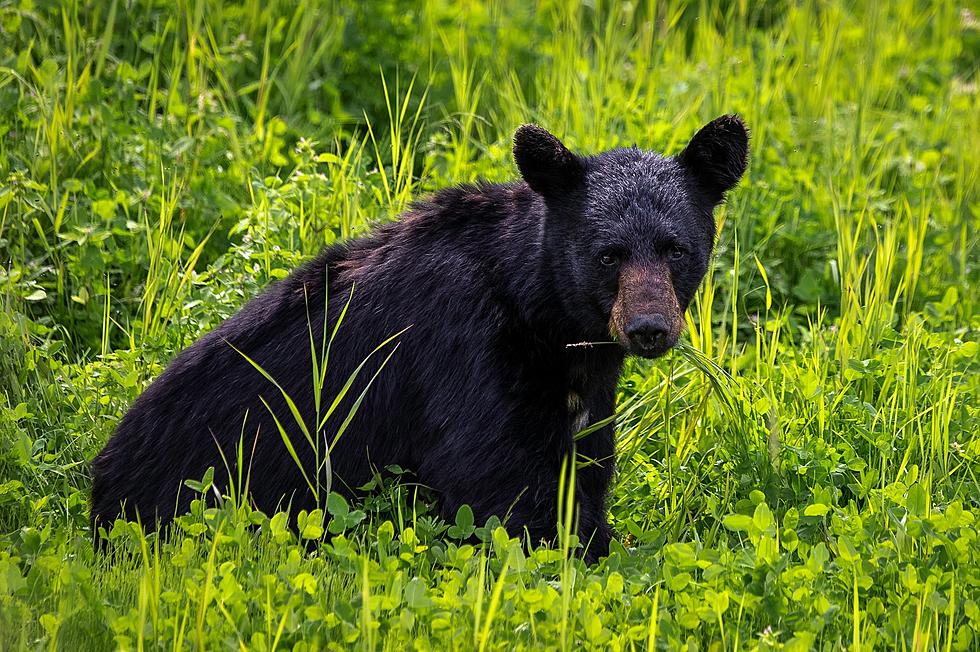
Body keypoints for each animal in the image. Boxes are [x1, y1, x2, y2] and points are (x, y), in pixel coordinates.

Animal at [94, 116, 752, 560]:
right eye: (609, 254)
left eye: (675, 249)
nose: (649, 328)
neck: (540, 312)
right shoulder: (467, 351)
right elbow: (501, 483)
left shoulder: (583, 386)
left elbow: (584, 462)